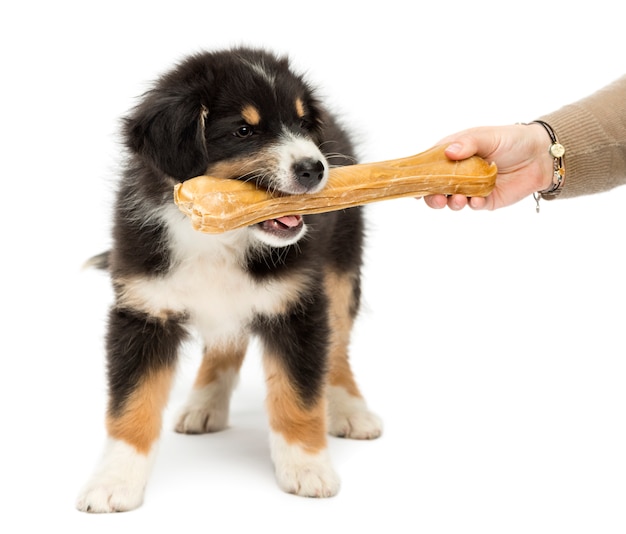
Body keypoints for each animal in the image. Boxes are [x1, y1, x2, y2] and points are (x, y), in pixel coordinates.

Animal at [78, 47, 380, 516]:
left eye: (300, 124)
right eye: (244, 130)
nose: (315, 168)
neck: (218, 237)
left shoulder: (297, 304)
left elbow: (299, 396)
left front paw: (308, 469)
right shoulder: (143, 310)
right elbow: (130, 403)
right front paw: (113, 483)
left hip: (340, 267)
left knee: (337, 348)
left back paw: (350, 409)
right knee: (226, 342)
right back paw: (205, 403)